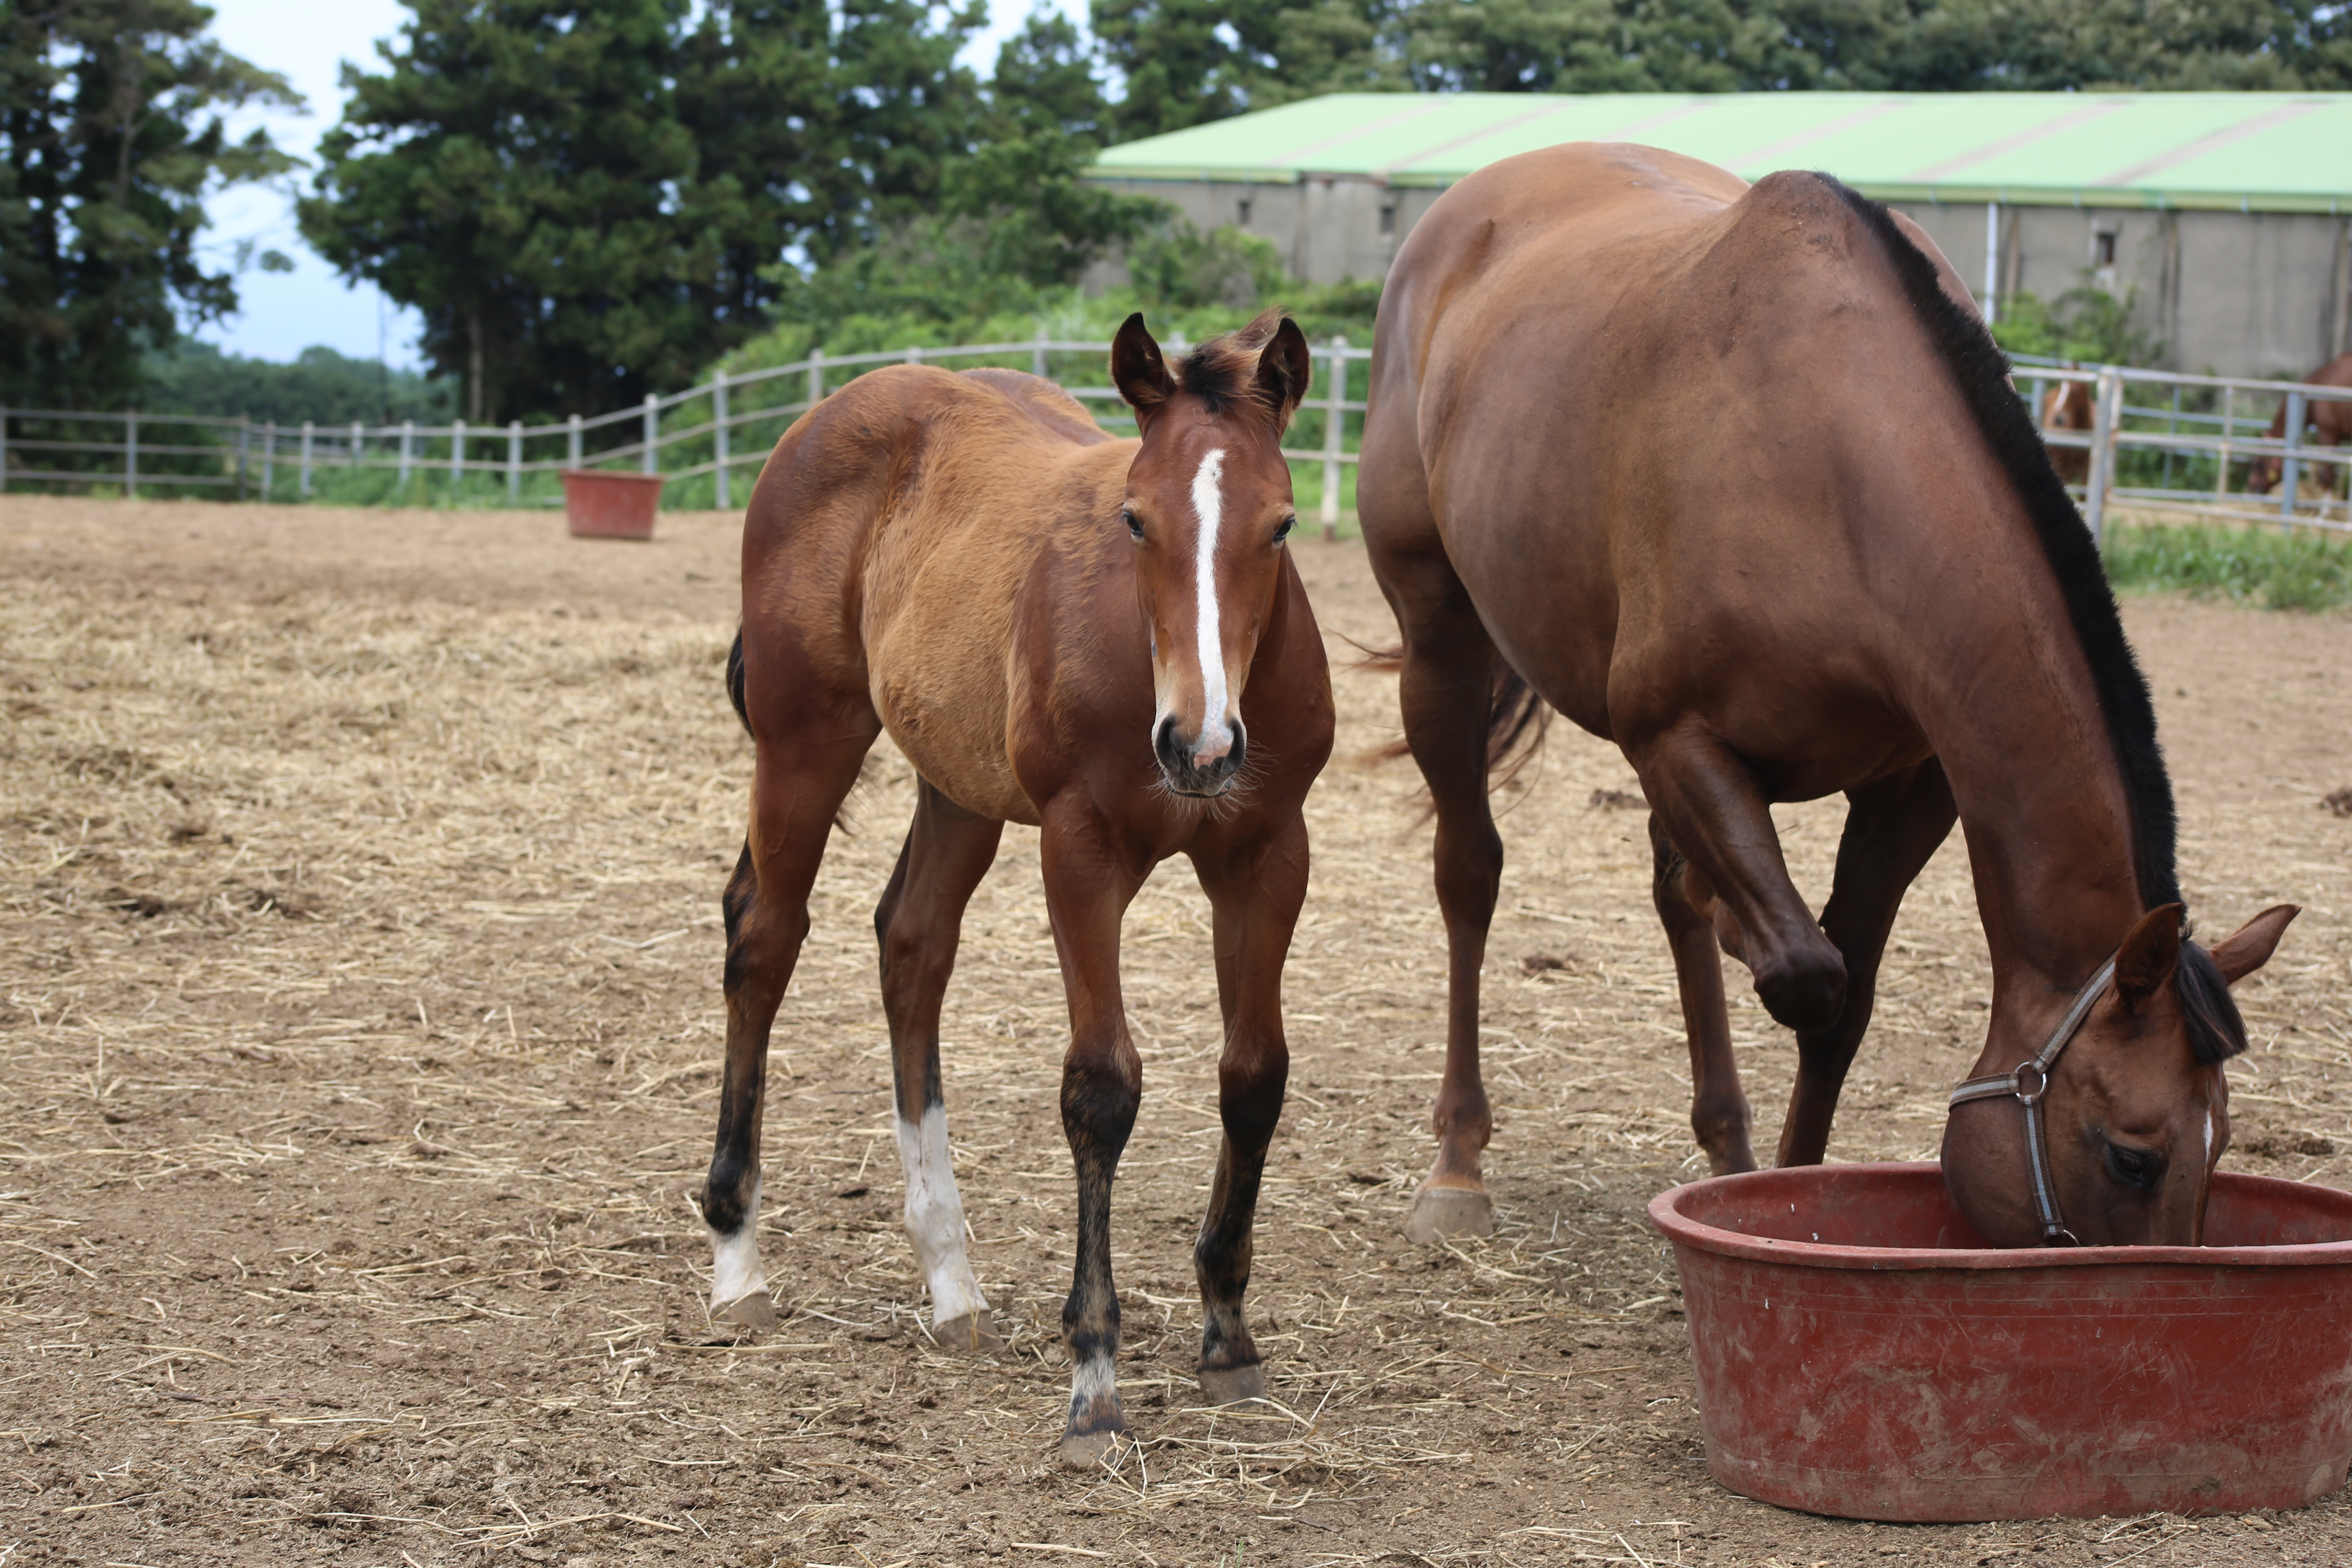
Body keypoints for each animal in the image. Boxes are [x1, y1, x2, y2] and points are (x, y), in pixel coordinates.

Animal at [696, 312, 1336, 1467]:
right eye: (1133, 518)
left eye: (1282, 524)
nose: (1200, 746)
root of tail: (824, 416)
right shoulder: (1079, 852)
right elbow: (1102, 1088)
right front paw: (1094, 1380)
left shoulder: (1269, 853)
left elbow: (1254, 1075)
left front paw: (1227, 1333)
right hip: (804, 740)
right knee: (764, 938)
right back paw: (738, 1262)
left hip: (958, 787)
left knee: (911, 945)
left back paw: (950, 1281)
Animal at [1364, 141, 2295, 1260]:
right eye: (2132, 1155)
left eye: (2223, 1143)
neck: (1835, 469)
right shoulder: (1677, 739)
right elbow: (1807, 972)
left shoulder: (1911, 787)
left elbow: (1839, 995)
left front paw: (1782, 1188)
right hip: (1439, 642)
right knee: (1471, 872)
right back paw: (1458, 1158)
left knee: (1673, 896)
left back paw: (1724, 1134)